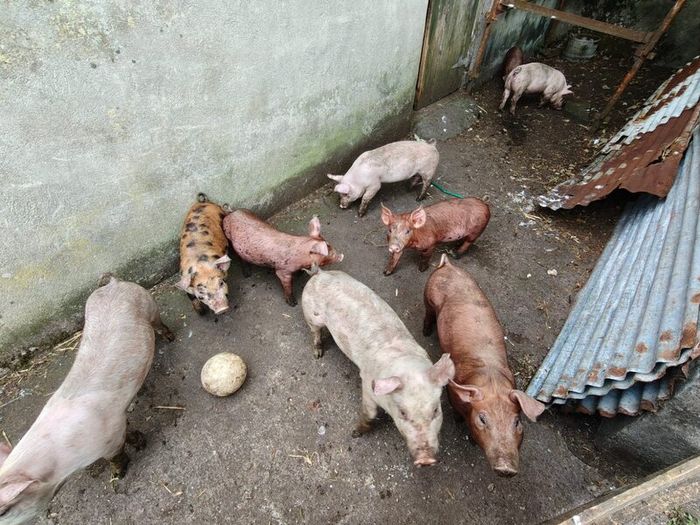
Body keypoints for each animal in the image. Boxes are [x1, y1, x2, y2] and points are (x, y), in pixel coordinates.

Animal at [0, 275, 173, 524]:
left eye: (4, 511)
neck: (60, 466)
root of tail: (113, 283)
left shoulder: (110, 435)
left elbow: (117, 454)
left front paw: (120, 473)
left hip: (148, 303)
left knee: (159, 322)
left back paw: (170, 337)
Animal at [301, 267, 455, 466]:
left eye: (436, 410)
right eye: (403, 413)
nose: (426, 459)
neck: (404, 361)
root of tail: (319, 273)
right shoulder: (367, 383)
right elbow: (370, 412)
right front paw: (355, 433)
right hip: (310, 315)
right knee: (315, 332)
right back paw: (318, 354)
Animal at [423, 255, 545, 476]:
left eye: (517, 422)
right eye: (482, 419)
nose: (506, 469)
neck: (492, 381)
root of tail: (447, 265)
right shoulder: (452, 394)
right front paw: (460, 424)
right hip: (427, 295)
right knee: (427, 314)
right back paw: (426, 333)